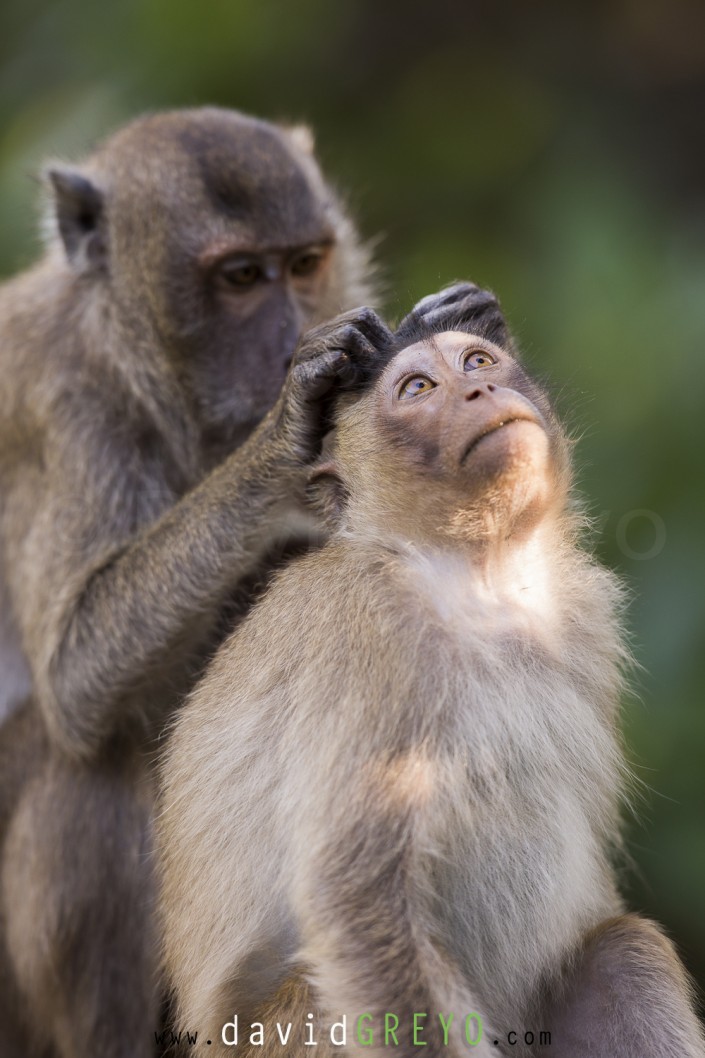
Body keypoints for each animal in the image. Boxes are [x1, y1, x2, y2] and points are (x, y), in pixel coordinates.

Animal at [0, 106, 394, 1058]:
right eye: (240, 278)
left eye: (303, 264)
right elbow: (75, 683)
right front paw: (280, 441)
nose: (285, 342)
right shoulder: (60, 408)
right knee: (90, 773)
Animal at [157, 288, 705, 1058]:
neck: (476, 578)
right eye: (418, 389)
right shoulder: (366, 629)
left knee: (622, 952)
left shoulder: (582, 617)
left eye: (477, 362)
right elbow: (357, 898)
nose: (479, 390)